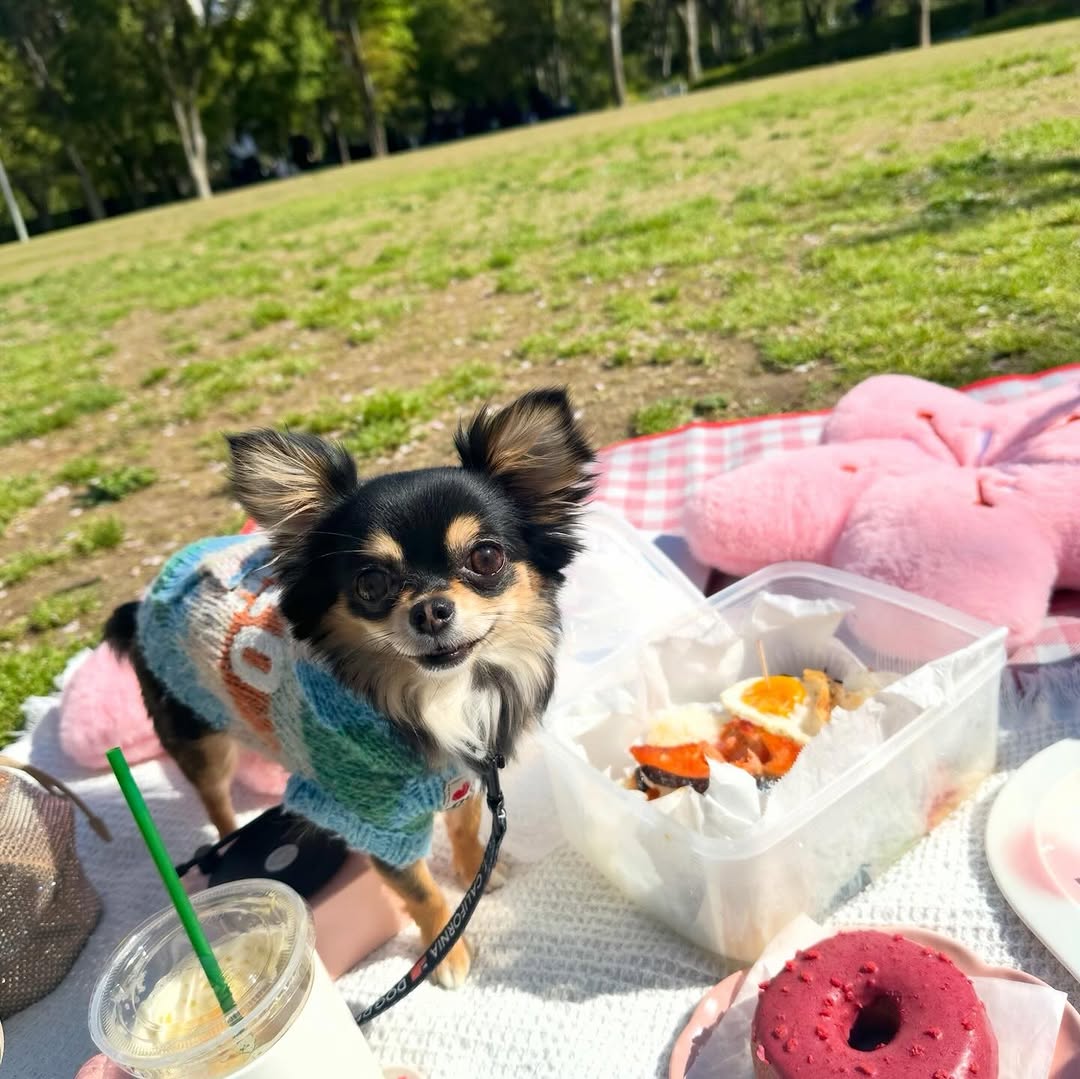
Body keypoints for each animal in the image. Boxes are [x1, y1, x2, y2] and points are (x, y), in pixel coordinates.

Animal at [104, 387, 594, 987]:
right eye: (372, 584)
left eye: (485, 557)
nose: (430, 610)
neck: (437, 696)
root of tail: (144, 600)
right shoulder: (374, 820)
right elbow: (422, 893)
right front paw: (446, 953)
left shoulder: (465, 773)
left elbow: (463, 826)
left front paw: (475, 869)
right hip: (199, 739)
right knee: (215, 798)